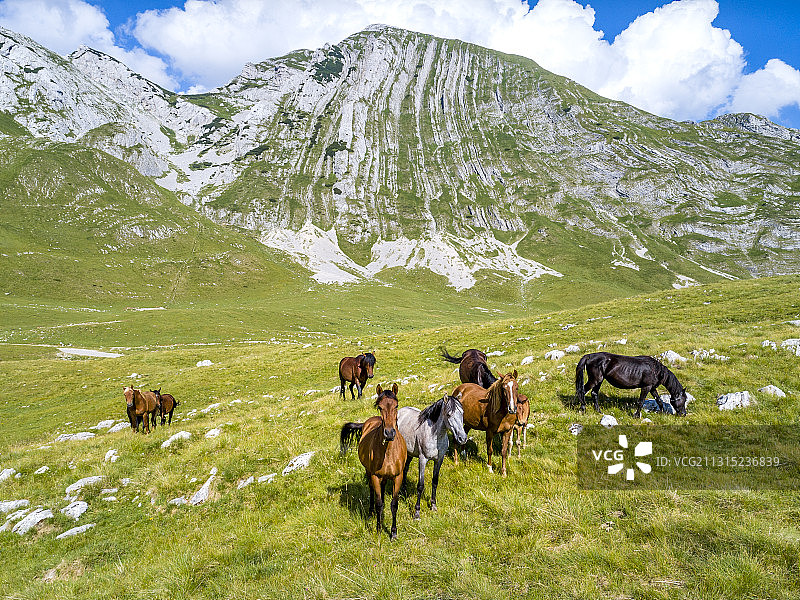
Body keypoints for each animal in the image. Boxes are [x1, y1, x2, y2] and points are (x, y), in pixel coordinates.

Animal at [340, 384, 407, 539]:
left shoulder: (398, 476)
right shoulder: (375, 476)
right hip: (369, 471)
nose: (389, 433)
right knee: (372, 491)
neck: (388, 453)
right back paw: (371, 513)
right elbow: (378, 503)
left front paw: (393, 532)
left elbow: (394, 504)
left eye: (396, 405)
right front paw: (379, 528)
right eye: (380, 407)